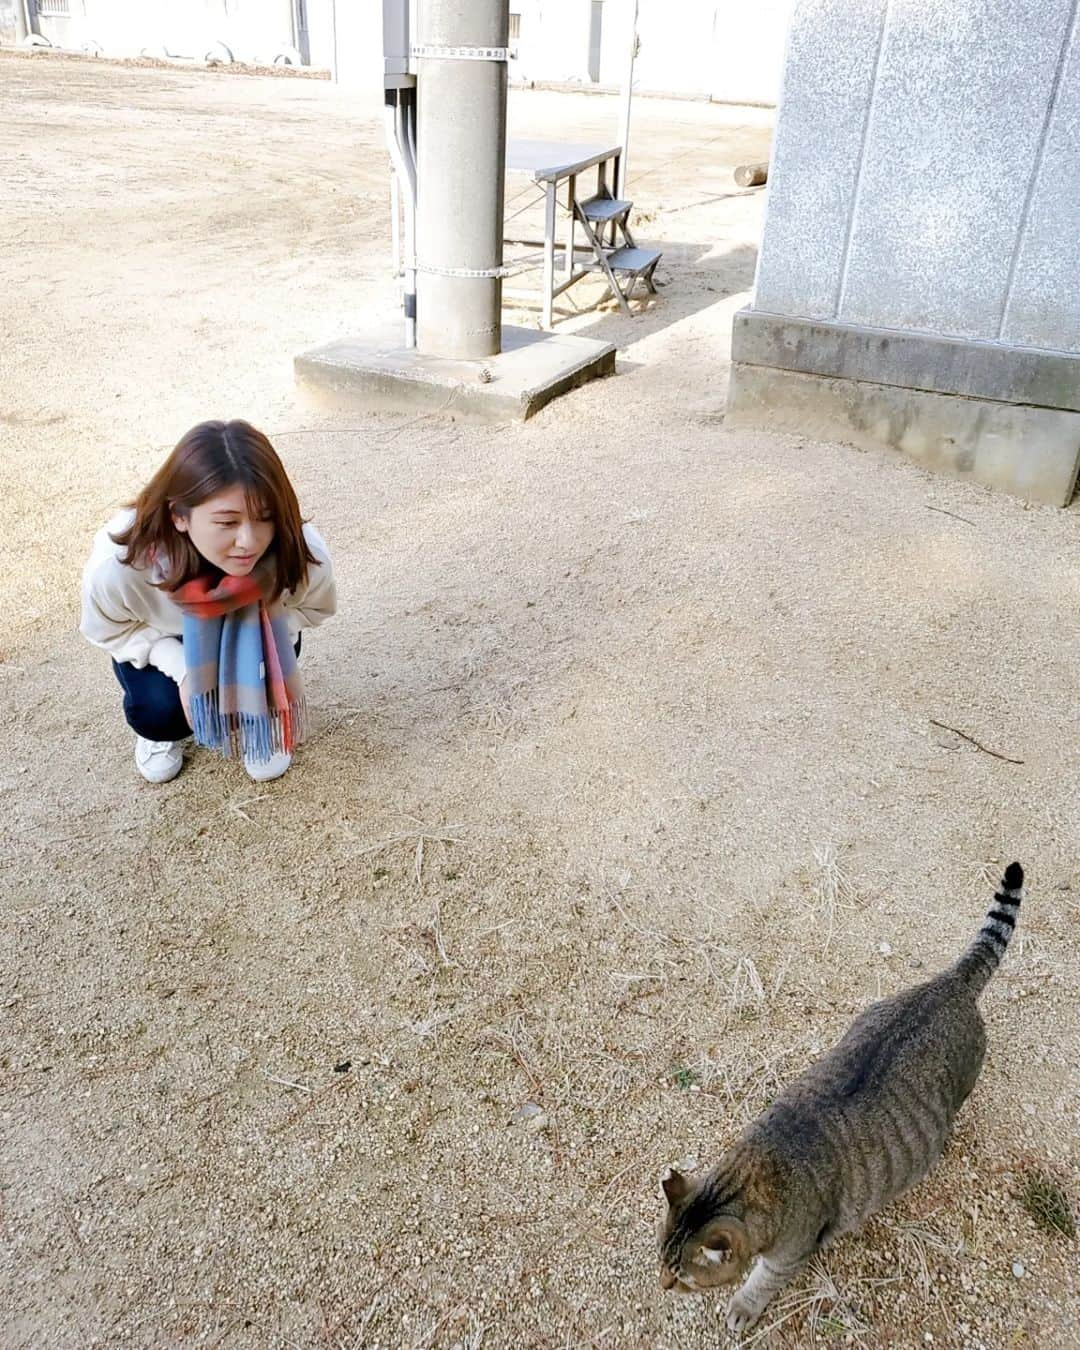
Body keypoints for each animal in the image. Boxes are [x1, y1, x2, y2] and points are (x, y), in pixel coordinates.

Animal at [658, 858, 1020, 1333]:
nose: (662, 1286)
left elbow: (761, 1283)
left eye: (683, 1278)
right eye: (661, 1263)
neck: (760, 1170)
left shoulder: (788, 1255)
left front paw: (743, 1307)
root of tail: (952, 983)